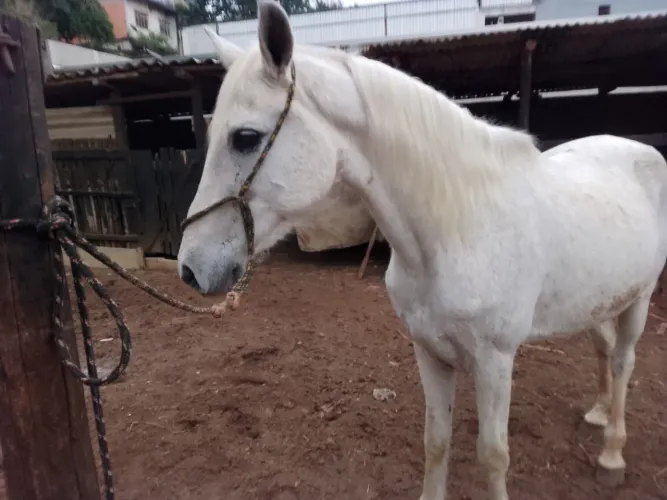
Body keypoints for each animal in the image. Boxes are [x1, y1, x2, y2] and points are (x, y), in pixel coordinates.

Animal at [176, 1, 667, 498]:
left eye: (245, 137)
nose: (191, 268)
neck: (456, 228)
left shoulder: (495, 361)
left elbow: (494, 456)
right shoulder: (429, 351)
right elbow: (436, 440)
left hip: (640, 298)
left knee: (623, 360)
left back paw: (611, 453)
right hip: (599, 298)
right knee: (604, 347)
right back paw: (599, 412)